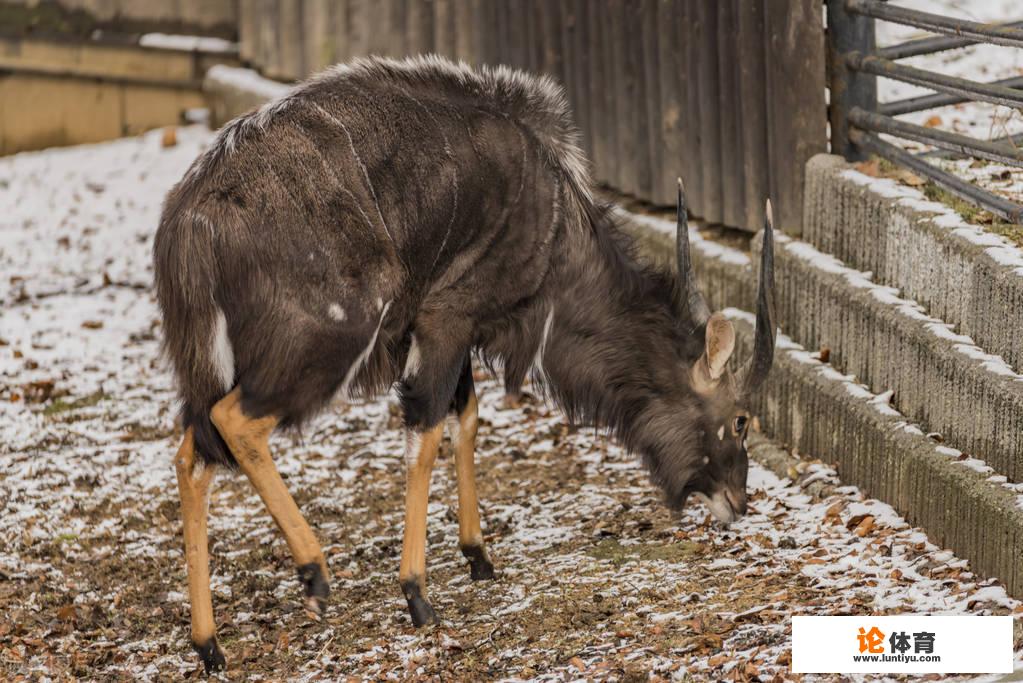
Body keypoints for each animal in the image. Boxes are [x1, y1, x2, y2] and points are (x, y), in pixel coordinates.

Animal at [153, 54, 773, 670]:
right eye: (740, 420)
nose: (739, 501)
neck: (554, 225)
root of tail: (190, 222)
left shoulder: (453, 337)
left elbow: (466, 419)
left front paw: (478, 555)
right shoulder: (445, 320)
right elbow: (426, 433)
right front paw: (417, 594)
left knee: (193, 454)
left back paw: (209, 645)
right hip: (326, 341)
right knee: (236, 422)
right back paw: (313, 571)